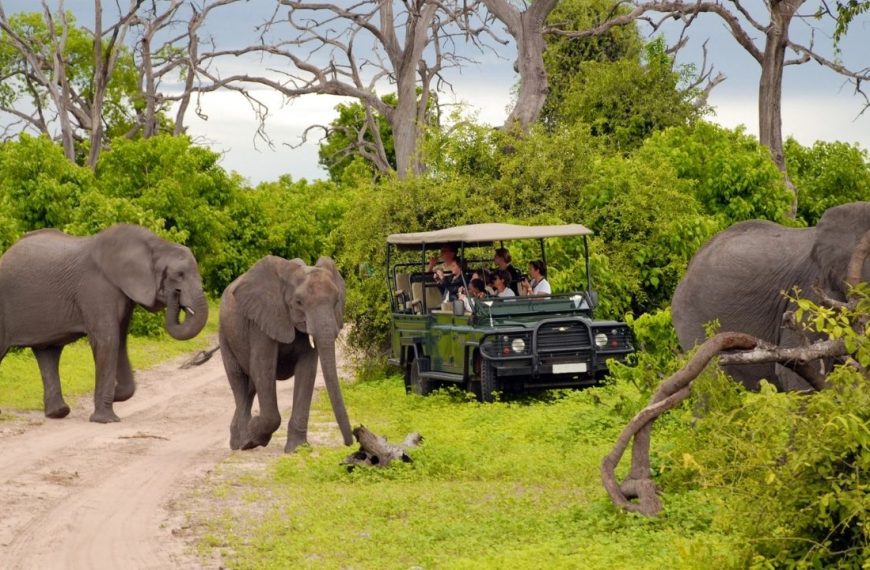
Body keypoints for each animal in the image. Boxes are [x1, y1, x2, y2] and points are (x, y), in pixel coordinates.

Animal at [0, 223, 209, 422]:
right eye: (179, 275)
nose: (176, 294)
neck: (155, 244)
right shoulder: (96, 287)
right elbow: (108, 341)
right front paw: (106, 419)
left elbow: (120, 342)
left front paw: (115, 395)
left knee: (48, 353)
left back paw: (58, 413)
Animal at [219, 255, 354, 453]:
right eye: (299, 302)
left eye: (337, 300)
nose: (349, 443)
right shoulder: (261, 320)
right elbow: (263, 366)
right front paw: (255, 434)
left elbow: (307, 370)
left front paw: (297, 449)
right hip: (225, 334)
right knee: (239, 381)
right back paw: (242, 443)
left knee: (251, 387)